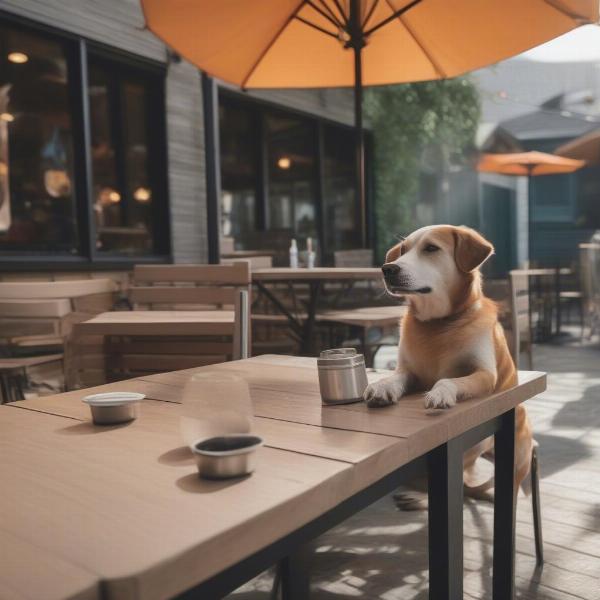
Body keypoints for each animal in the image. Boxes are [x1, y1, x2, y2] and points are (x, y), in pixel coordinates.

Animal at [364, 224, 532, 496]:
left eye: (431, 248)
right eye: (403, 250)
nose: (387, 269)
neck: (438, 324)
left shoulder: (484, 374)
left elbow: (448, 380)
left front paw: (440, 393)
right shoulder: (408, 371)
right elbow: (395, 377)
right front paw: (382, 386)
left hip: (516, 462)